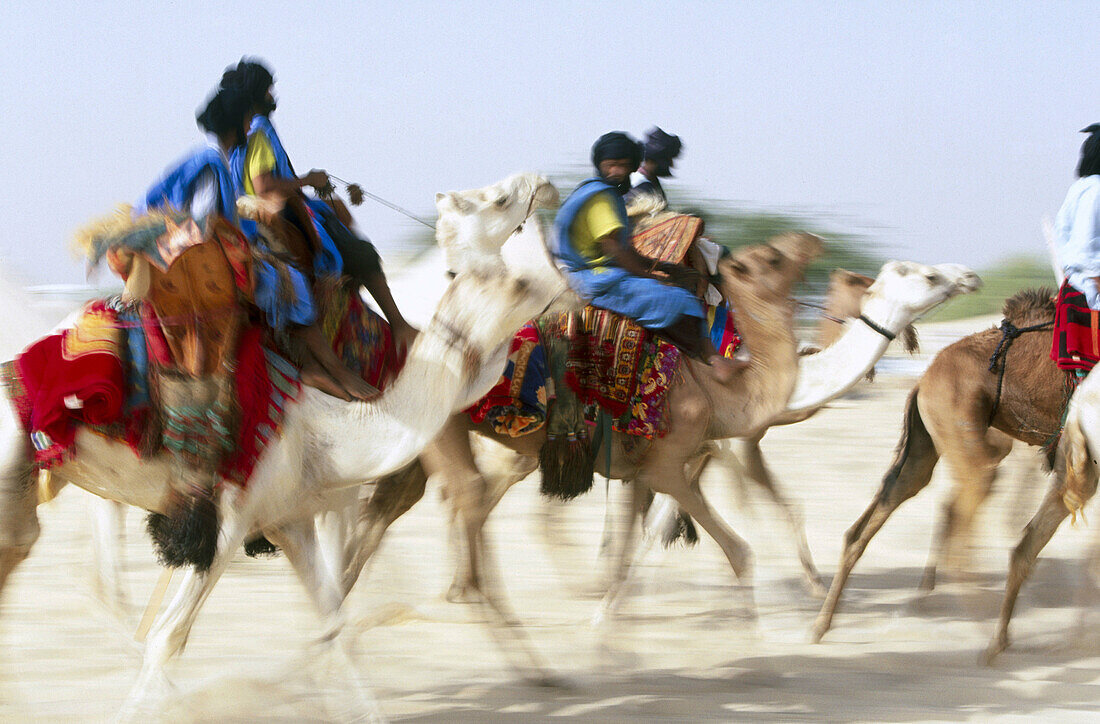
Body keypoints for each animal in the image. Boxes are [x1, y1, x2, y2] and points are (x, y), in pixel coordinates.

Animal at [0, 170, 558, 717]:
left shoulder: (288, 518)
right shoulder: (227, 519)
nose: (545, 185)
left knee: (33, 553)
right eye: (500, 200)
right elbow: (167, 638)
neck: (327, 422)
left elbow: (333, 623)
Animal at [814, 286, 1069, 638]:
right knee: (961, 518)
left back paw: (823, 623)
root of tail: (922, 381)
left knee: (888, 505)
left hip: (932, 443)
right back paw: (983, 622)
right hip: (967, 437)